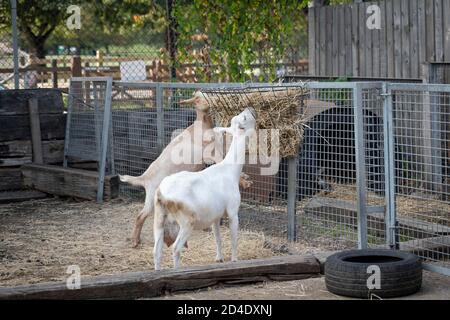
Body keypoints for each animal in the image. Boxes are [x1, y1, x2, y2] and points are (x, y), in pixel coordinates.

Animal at [119, 91, 253, 249]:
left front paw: (246, 178)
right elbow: (222, 159)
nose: (213, 100)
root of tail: (144, 178)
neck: (202, 125)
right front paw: (245, 182)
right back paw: (135, 241)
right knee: (140, 216)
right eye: (199, 98)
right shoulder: (209, 154)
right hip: (152, 199)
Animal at [153, 107, 256, 270]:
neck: (230, 170)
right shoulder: (233, 212)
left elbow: (218, 238)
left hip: (159, 219)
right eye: (244, 118)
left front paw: (219, 258)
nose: (250, 109)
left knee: (156, 251)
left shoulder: (216, 216)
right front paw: (234, 260)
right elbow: (234, 240)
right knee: (175, 248)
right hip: (186, 222)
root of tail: (162, 193)